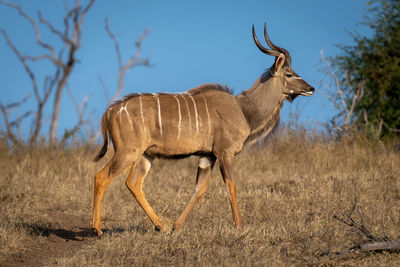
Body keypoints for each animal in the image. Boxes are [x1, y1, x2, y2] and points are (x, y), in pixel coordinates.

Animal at [92, 23, 314, 239]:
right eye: (289, 74)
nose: (311, 88)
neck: (242, 109)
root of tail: (110, 111)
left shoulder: (207, 156)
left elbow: (199, 189)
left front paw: (176, 227)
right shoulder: (224, 153)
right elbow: (231, 185)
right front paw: (239, 227)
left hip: (146, 154)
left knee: (133, 183)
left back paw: (161, 226)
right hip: (127, 152)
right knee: (102, 177)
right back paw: (97, 229)